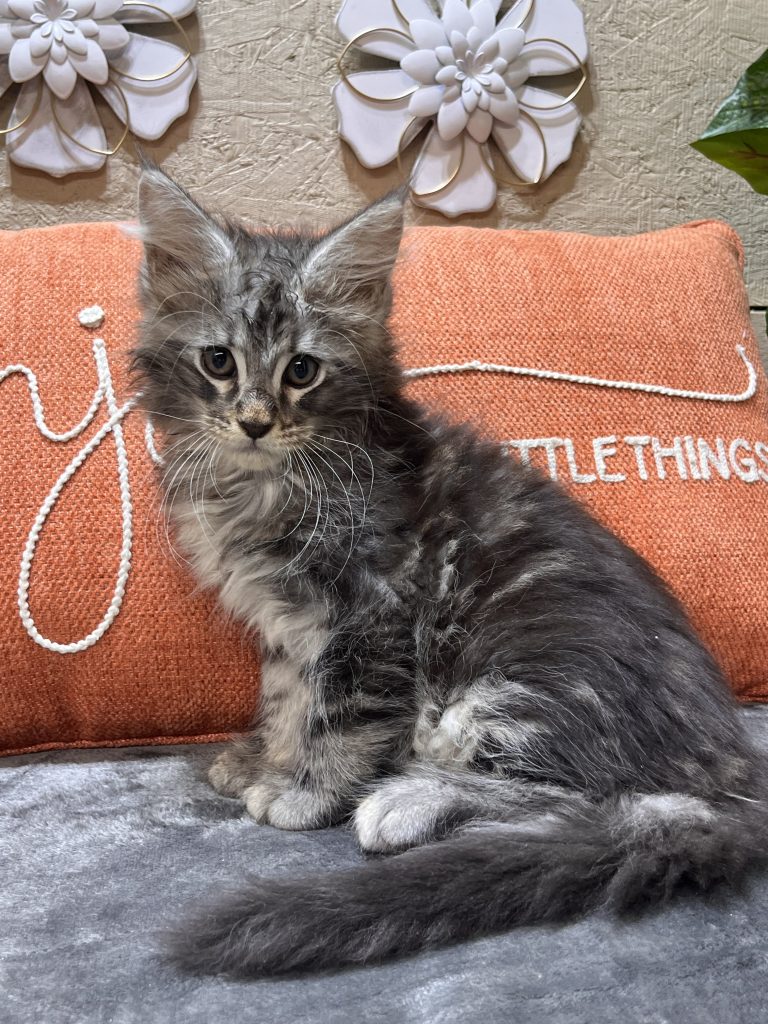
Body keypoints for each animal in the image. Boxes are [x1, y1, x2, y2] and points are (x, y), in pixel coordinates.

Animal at [132, 164, 768, 977]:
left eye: (301, 370)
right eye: (219, 361)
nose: (254, 420)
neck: (269, 482)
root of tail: (735, 773)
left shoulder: (371, 608)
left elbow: (337, 711)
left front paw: (307, 791)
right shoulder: (290, 624)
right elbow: (286, 695)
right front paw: (267, 757)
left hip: (519, 675)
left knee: (603, 805)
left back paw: (409, 802)